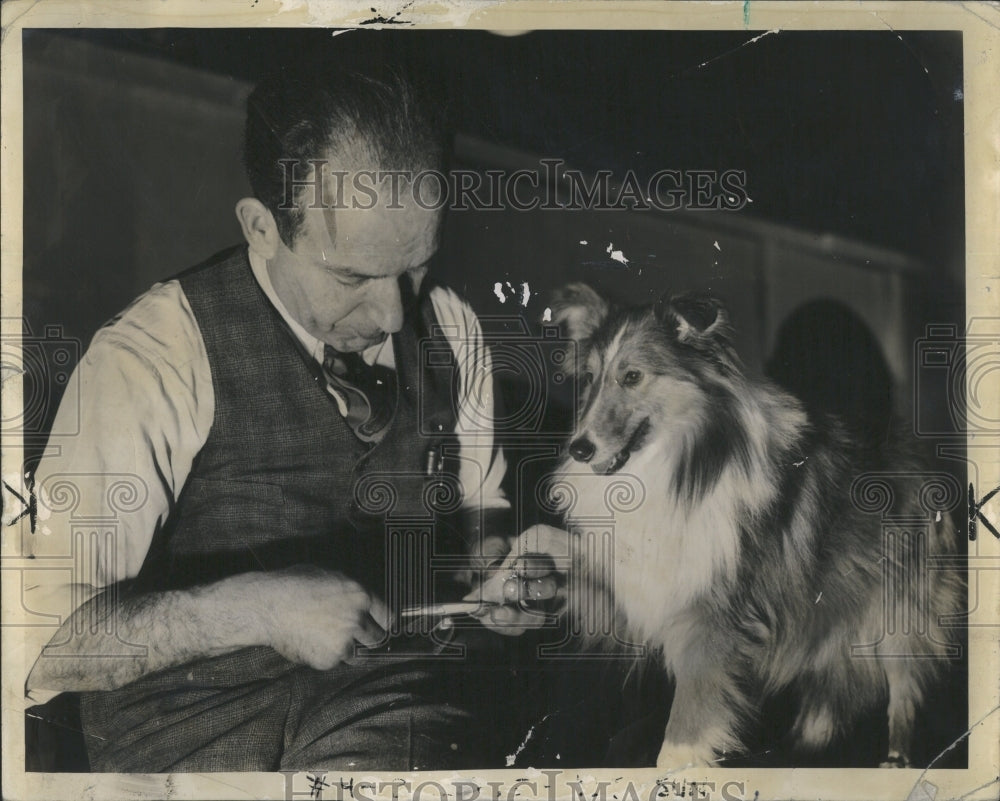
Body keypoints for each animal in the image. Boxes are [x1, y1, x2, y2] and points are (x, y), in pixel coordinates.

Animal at [544, 284, 964, 772]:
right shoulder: (638, 587)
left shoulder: (717, 614)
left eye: (632, 376)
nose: (580, 449)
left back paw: (895, 760)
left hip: (900, 612)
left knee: (901, 689)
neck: (680, 465)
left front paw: (676, 766)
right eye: (590, 378)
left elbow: (687, 718)